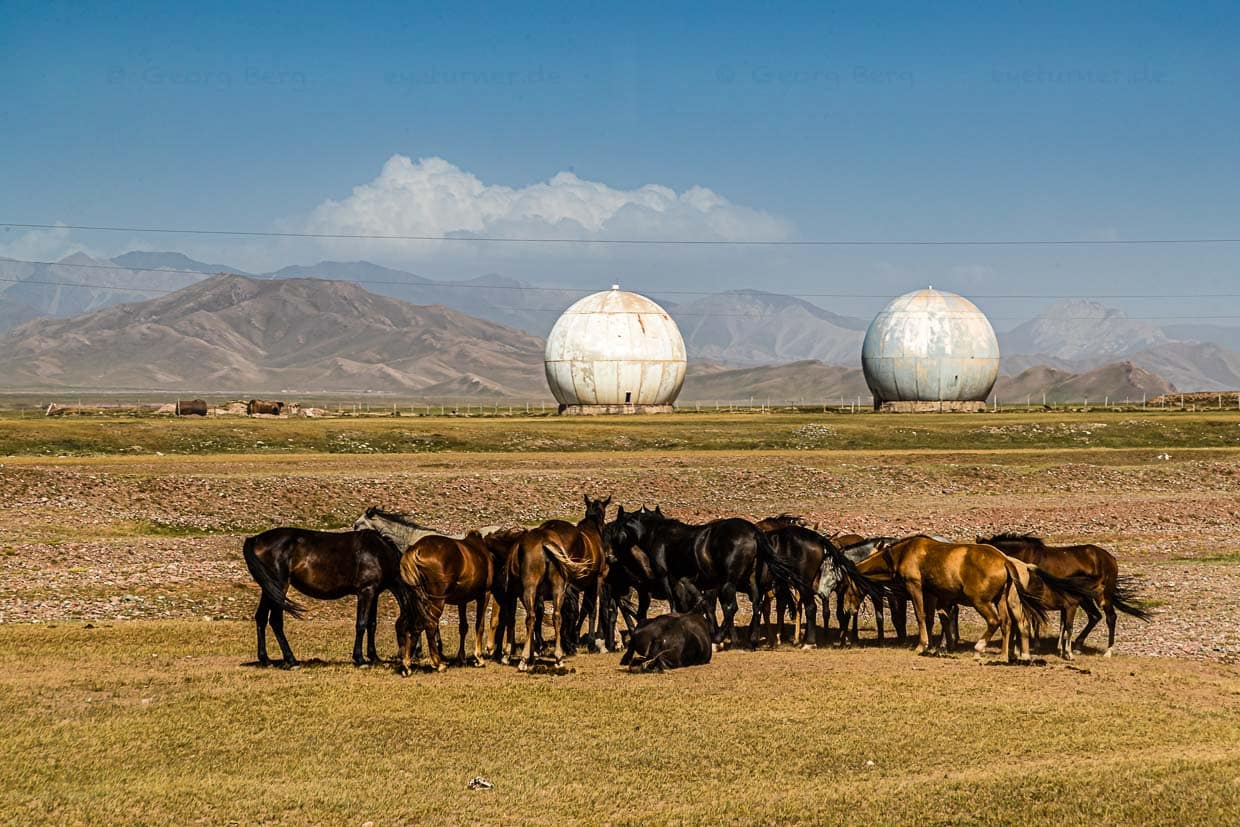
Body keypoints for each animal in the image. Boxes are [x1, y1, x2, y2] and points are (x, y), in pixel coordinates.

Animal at [242, 527, 422, 669]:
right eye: (415, 628)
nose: (415, 655)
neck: (379, 553)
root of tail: (255, 539)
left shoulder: (374, 593)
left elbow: (372, 624)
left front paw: (374, 657)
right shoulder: (366, 591)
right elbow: (361, 624)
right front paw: (360, 659)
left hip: (269, 589)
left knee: (261, 618)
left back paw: (266, 660)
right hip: (280, 587)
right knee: (276, 621)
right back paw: (291, 661)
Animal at [979, 533, 1149, 657]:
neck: (1025, 557)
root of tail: (1110, 558)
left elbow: (1034, 619)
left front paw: (1032, 646)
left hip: (1103, 596)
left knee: (1110, 617)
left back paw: (1108, 651)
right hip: (1085, 597)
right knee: (1095, 616)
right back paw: (1077, 646)